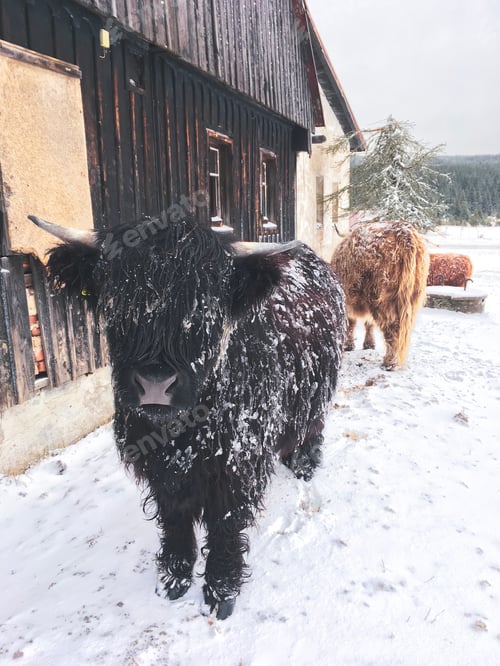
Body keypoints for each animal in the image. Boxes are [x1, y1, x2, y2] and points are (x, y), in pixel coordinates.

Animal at [29, 215, 346, 619]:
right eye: (117, 300)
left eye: (203, 308)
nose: (155, 384)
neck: (183, 435)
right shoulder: (157, 464)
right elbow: (174, 516)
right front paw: (174, 577)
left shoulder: (236, 462)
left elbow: (226, 524)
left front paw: (221, 590)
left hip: (317, 386)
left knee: (312, 423)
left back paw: (303, 461)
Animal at [331, 220, 429, 370]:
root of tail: (404, 231)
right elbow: (368, 323)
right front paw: (368, 344)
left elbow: (351, 323)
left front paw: (349, 345)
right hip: (413, 297)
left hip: (381, 298)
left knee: (392, 327)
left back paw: (390, 362)